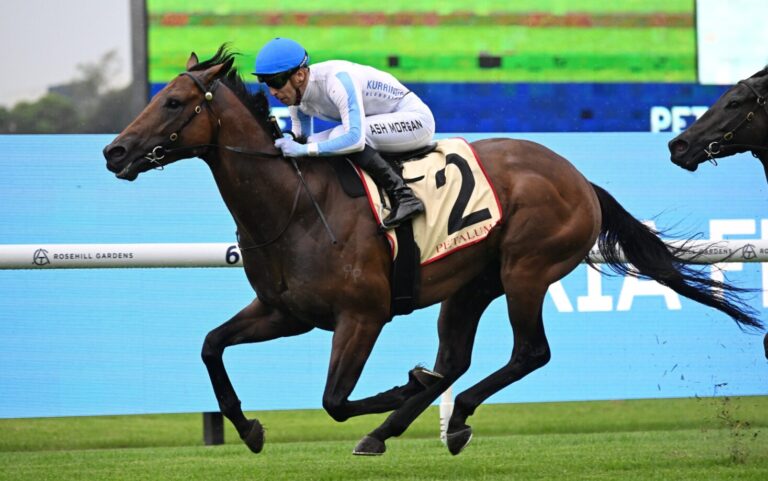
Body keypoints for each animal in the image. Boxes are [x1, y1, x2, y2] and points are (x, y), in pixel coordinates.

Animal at [103, 46, 763, 456]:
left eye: (172, 102)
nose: (114, 151)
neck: (294, 205)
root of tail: (578, 177)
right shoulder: (285, 312)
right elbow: (211, 347)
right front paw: (249, 430)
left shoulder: (362, 315)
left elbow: (334, 400)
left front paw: (401, 386)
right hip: (471, 284)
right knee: (457, 359)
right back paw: (399, 426)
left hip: (526, 269)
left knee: (527, 353)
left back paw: (444, 412)